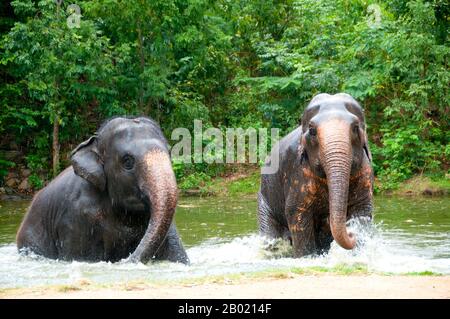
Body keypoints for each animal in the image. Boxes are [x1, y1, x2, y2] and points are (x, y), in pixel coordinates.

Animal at [258, 92, 374, 258]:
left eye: (355, 127)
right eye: (312, 131)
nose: (352, 234)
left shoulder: (365, 173)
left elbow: (362, 210)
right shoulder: (297, 172)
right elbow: (297, 213)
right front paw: (306, 257)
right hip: (265, 202)